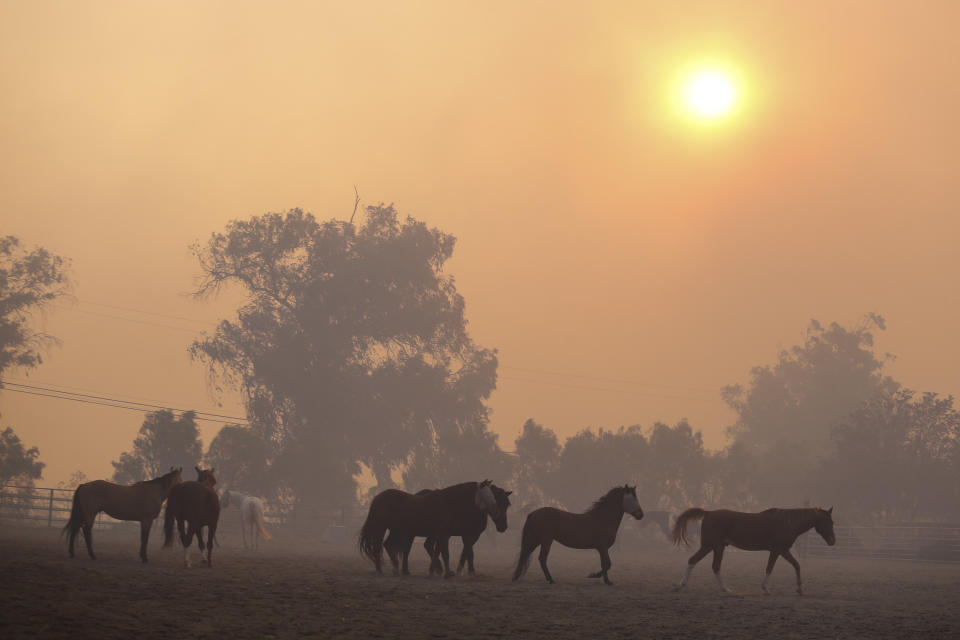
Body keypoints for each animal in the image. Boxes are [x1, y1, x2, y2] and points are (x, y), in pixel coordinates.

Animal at [360, 478, 510, 576]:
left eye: (507, 504)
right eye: (488, 494)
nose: (502, 525)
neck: (450, 504)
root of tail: (378, 498)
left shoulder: (445, 535)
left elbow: (442, 552)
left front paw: (438, 571)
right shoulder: (448, 535)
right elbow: (447, 553)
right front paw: (449, 573)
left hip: (397, 531)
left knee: (389, 545)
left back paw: (399, 569)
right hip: (382, 529)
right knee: (378, 547)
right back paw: (381, 570)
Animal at [512, 484, 640, 584]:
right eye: (631, 499)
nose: (641, 514)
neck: (602, 519)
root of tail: (533, 513)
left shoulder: (602, 549)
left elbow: (605, 564)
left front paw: (607, 580)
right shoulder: (603, 548)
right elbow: (607, 564)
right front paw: (593, 575)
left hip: (537, 540)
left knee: (527, 555)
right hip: (545, 540)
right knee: (542, 558)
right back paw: (551, 579)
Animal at [672, 504, 836, 596]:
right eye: (827, 521)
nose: (833, 541)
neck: (788, 522)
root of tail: (708, 512)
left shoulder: (781, 551)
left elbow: (796, 565)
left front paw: (799, 589)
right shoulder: (778, 550)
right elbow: (771, 568)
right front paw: (766, 589)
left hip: (718, 547)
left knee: (716, 567)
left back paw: (726, 589)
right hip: (708, 546)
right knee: (693, 561)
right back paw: (680, 586)